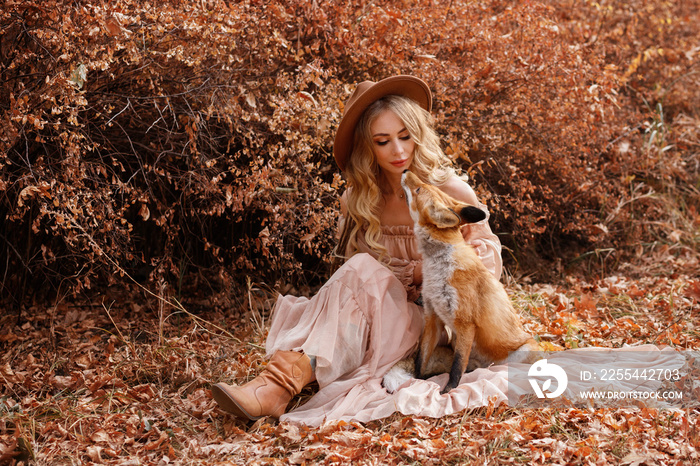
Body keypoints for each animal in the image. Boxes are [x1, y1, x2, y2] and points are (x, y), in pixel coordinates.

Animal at [386, 169, 540, 396]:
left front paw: (448, 391)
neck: (440, 266)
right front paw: (419, 381)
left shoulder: (466, 324)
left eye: (419, 189)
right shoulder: (433, 317)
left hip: (523, 353)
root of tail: (487, 365)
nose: (406, 170)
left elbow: (457, 367)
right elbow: (421, 360)